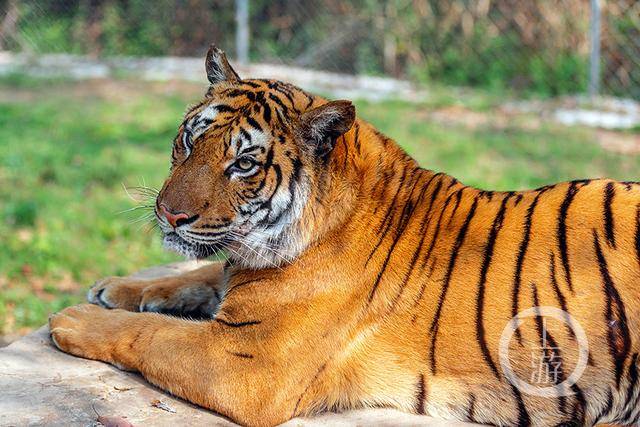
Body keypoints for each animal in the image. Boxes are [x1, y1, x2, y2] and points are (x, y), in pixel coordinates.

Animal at [50, 45, 640, 426]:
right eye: (189, 141)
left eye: (244, 163)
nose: (169, 215)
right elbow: (200, 272)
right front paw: (116, 288)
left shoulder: (247, 359)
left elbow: (152, 333)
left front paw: (74, 318)